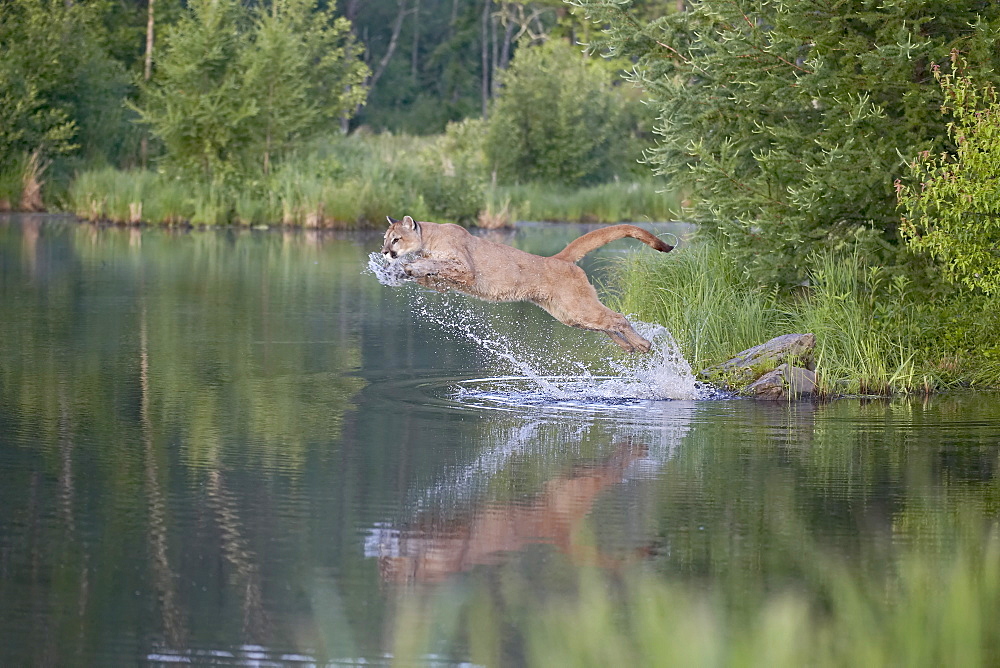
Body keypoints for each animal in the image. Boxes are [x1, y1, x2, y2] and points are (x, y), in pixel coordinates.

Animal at [380, 217, 672, 352]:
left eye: (395, 239)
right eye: (385, 239)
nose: (384, 252)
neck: (429, 239)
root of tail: (558, 258)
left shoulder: (466, 269)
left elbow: (437, 264)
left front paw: (411, 266)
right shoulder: (447, 282)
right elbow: (433, 274)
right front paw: (405, 272)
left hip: (577, 306)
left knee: (617, 317)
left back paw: (643, 344)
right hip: (569, 314)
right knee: (605, 323)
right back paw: (630, 346)